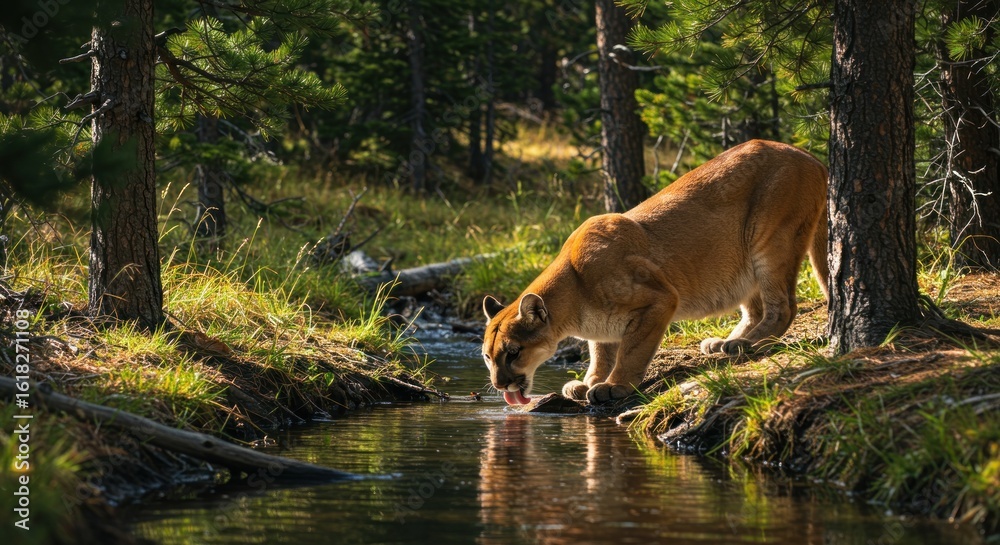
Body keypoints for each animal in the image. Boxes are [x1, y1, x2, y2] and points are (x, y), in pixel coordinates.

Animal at [481, 140, 829, 405]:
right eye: (487, 356)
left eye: (513, 352)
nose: (499, 385)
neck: (574, 295)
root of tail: (809, 155)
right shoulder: (603, 327)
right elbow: (600, 352)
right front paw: (589, 381)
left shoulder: (659, 299)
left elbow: (632, 351)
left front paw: (614, 386)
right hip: (740, 260)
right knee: (754, 309)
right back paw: (725, 342)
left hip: (769, 241)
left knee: (784, 306)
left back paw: (748, 345)